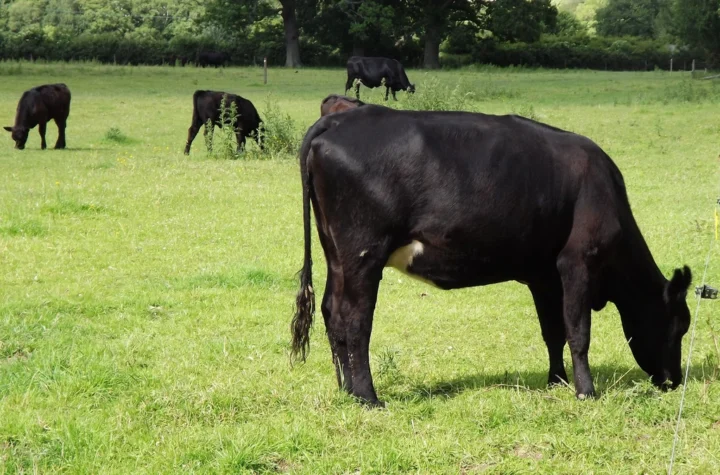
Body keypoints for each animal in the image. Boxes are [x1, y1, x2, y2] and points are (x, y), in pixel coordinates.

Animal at [291, 105, 692, 407]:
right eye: (680, 325)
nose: (673, 381)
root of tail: (341, 120)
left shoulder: (544, 275)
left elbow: (553, 331)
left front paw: (557, 381)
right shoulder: (578, 262)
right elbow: (578, 333)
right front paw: (586, 391)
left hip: (336, 254)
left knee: (331, 311)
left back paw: (346, 389)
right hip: (363, 253)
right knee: (354, 319)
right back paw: (368, 396)